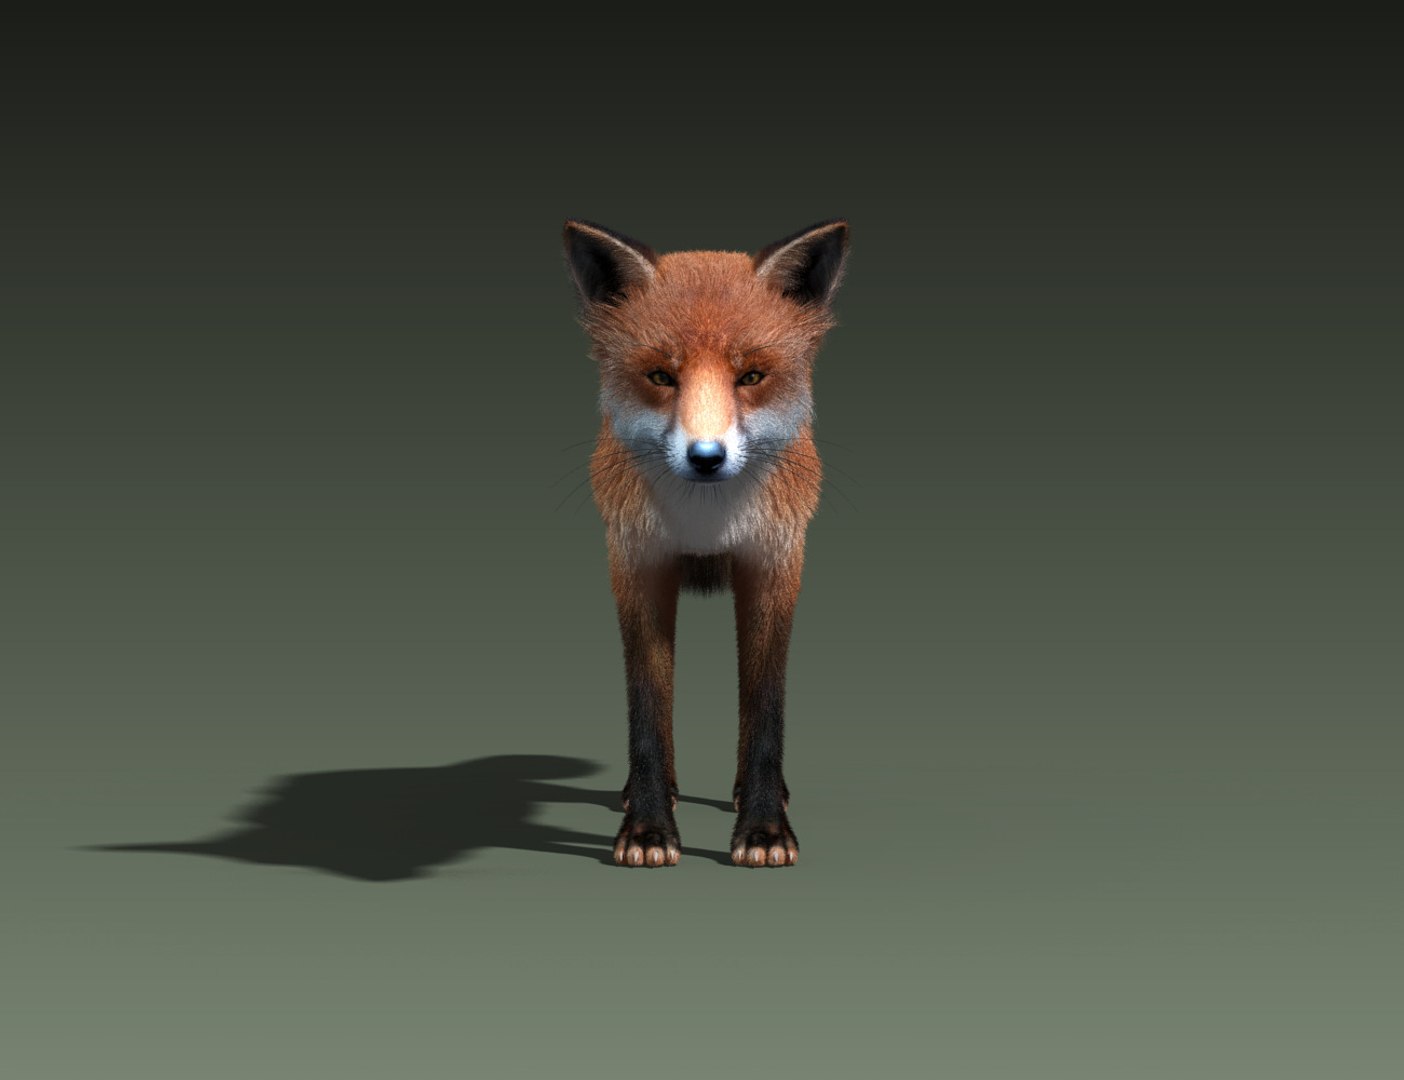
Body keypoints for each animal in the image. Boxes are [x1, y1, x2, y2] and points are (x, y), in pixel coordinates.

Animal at [562, 218, 850, 868]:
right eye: (661, 377)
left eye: (751, 377)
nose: (706, 457)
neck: (706, 524)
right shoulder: (637, 564)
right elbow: (648, 706)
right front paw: (648, 827)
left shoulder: (774, 564)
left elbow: (765, 707)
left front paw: (764, 827)